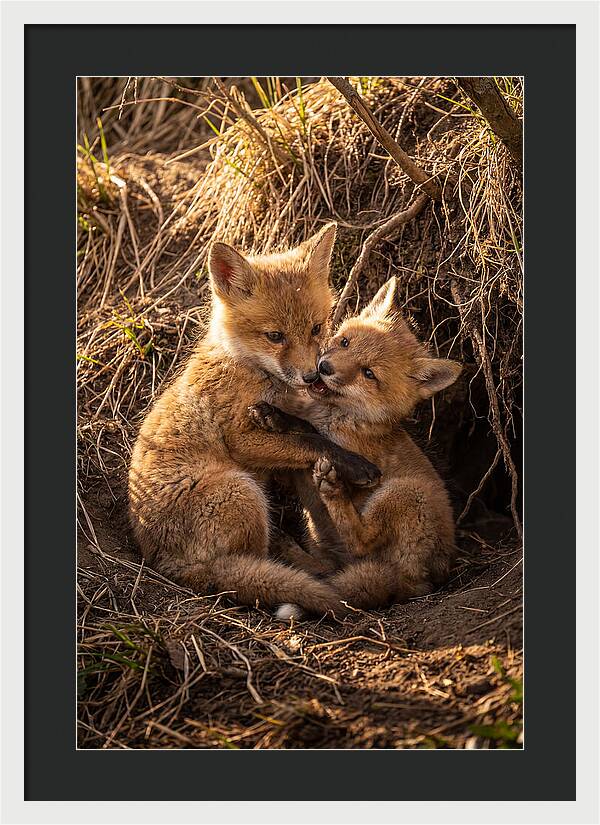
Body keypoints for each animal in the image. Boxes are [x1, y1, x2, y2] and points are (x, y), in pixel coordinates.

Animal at [128, 223, 380, 618]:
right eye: (275, 336)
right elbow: (311, 441)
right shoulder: (241, 439)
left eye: (316, 328)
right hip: (242, 490)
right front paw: (355, 465)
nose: (312, 376)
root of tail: (165, 564)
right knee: (253, 565)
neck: (247, 368)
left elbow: (305, 430)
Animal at [248, 276, 462, 619]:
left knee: (361, 540)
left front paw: (281, 419)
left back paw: (332, 491)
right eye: (346, 342)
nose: (324, 367)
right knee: (328, 568)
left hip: (404, 493)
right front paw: (274, 414)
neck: (337, 416)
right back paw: (291, 550)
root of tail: (423, 582)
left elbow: (312, 434)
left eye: (369, 373)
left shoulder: (348, 450)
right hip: (325, 540)